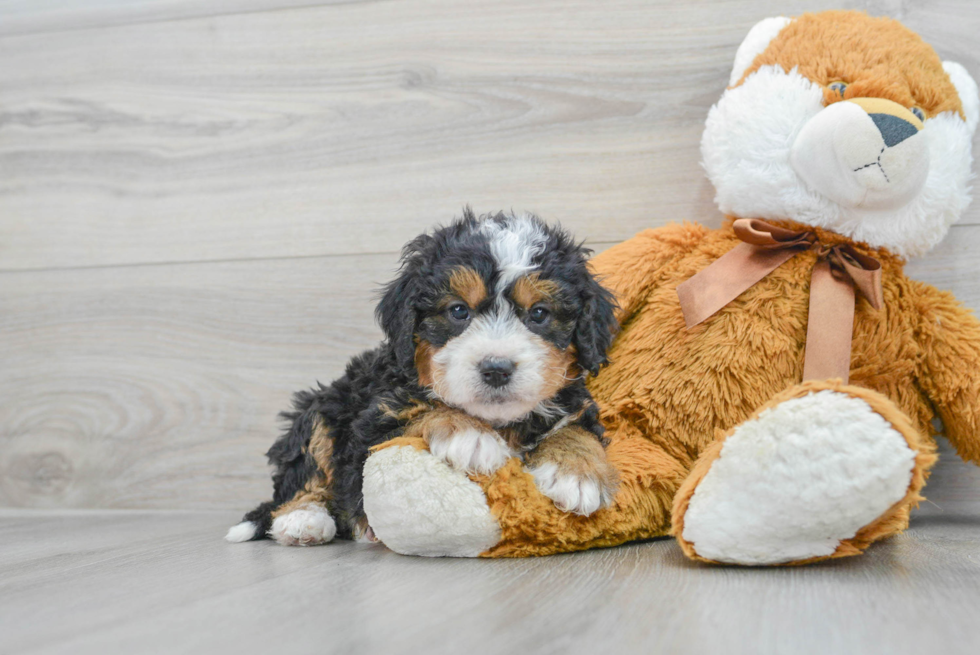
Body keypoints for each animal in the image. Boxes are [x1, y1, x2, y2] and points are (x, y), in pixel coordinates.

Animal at [226, 211, 616, 548]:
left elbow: (575, 428)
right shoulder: (372, 423)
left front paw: (577, 472)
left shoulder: (576, 402)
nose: (496, 369)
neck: (499, 421)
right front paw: (469, 436)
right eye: (458, 311)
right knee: (303, 472)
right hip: (321, 407)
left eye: (539, 313)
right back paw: (303, 520)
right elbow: (423, 410)